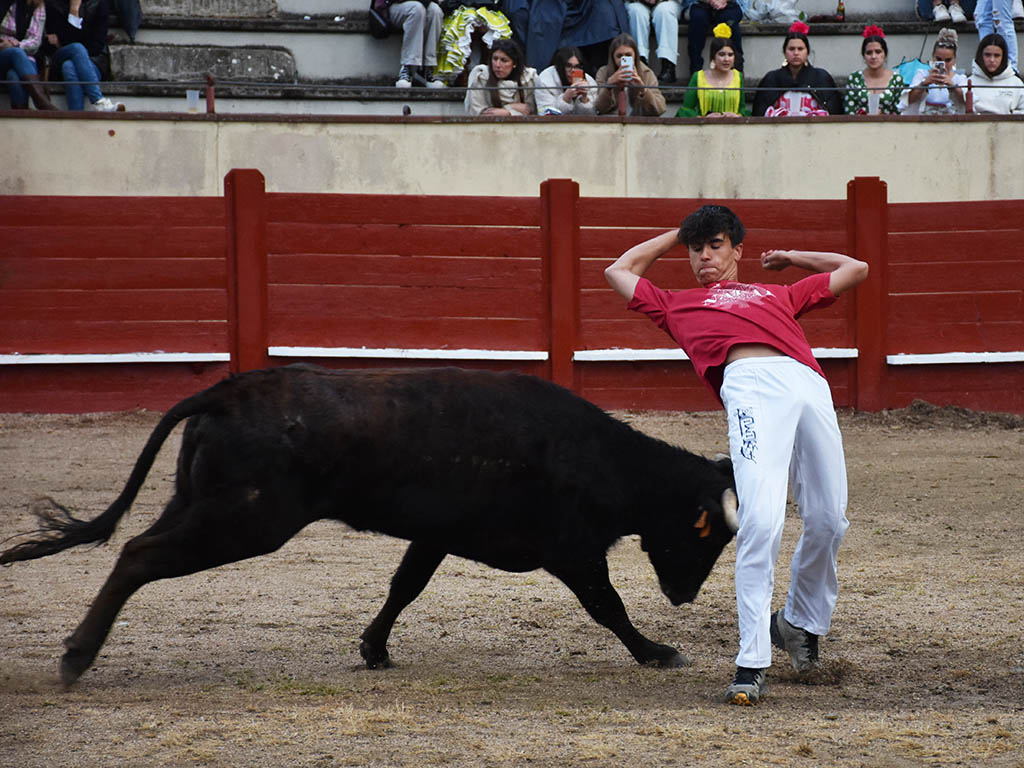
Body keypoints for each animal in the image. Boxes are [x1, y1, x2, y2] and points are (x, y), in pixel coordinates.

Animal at [0, 365, 738, 687]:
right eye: (705, 533)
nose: (685, 596)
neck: (595, 456)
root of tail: (229, 390)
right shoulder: (572, 551)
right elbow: (608, 606)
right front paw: (658, 651)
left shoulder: (436, 535)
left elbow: (403, 587)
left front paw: (374, 649)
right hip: (244, 521)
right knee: (137, 556)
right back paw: (75, 658)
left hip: (197, 503)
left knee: (138, 548)